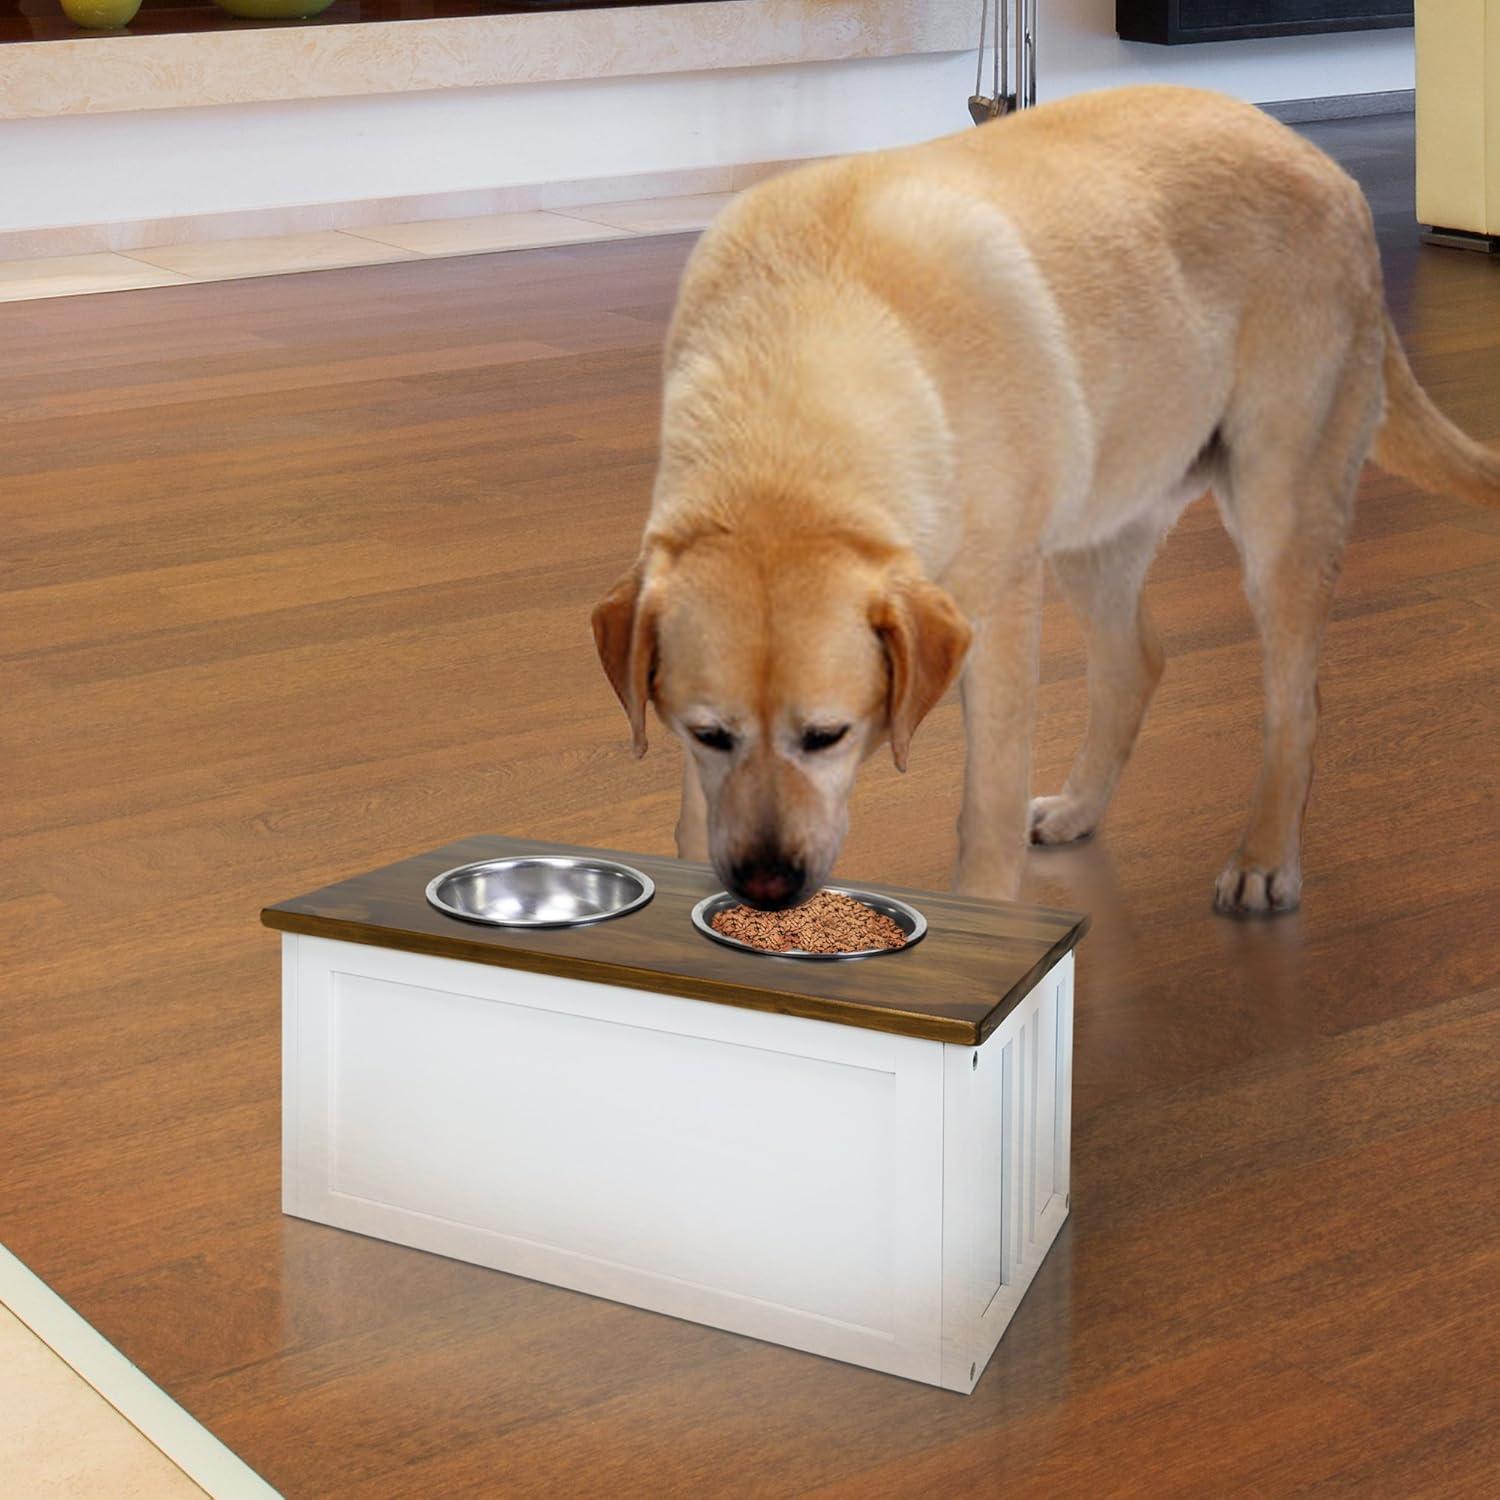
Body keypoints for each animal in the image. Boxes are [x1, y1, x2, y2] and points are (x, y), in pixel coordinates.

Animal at [591, 85, 1494, 912]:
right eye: (709, 734)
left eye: (827, 736)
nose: (768, 888)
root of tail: (1330, 171)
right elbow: (692, 815)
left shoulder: (995, 616)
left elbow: (985, 811)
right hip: (1104, 522)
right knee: (1136, 662)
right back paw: (1080, 808)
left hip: (1280, 510)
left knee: (1294, 704)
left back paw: (1266, 856)